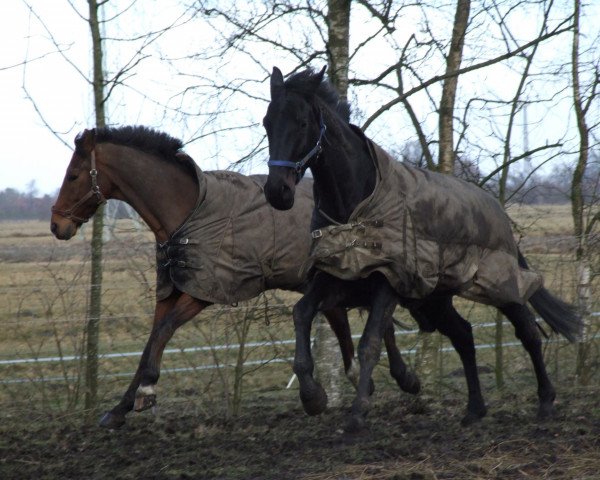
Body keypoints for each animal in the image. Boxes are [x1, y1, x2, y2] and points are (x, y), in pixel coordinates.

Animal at [49, 125, 420, 430]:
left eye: (73, 175)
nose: (57, 225)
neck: (187, 212)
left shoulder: (202, 292)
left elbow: (164, 332)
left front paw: (147, 390)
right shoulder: (171, 290)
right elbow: (151, 342)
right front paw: (120, 408)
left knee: (375, 321)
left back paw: (396, 380)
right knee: (352, 319)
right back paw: (368, 380)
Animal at [262, 66, 580, 432]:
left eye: (302, 123)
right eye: (267, 122)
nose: (277, 192)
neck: (357, 203)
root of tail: (498, 212)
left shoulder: (387, 281)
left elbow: (370, 342)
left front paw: (358, 413)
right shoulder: (337, 275)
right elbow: (301, 314)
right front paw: (313, 397)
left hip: (498, 284)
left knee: (527, 332)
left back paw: (545, 402)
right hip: (435, 299)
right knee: (464, 336)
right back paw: (475, 409)